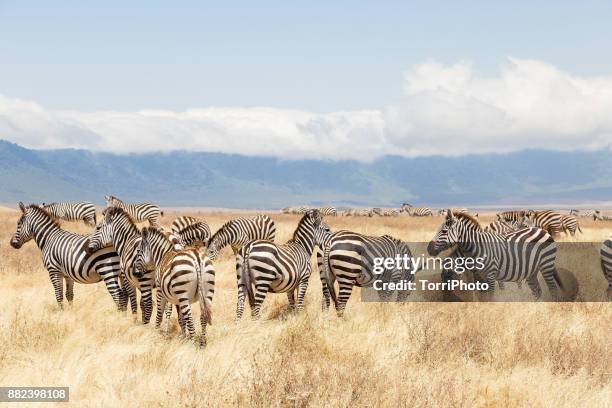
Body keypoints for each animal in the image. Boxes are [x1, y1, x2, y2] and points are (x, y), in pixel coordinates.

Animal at [426, 210, 564, 300]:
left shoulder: (490, 276)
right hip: (531, 271)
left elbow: (490, 298)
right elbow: (481, 296)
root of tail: (542, 230)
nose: (429, 249)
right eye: (442, 277)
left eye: (444, 231)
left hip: (546, 265)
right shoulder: (479, 277)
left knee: (553, 290)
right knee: (537, 292)